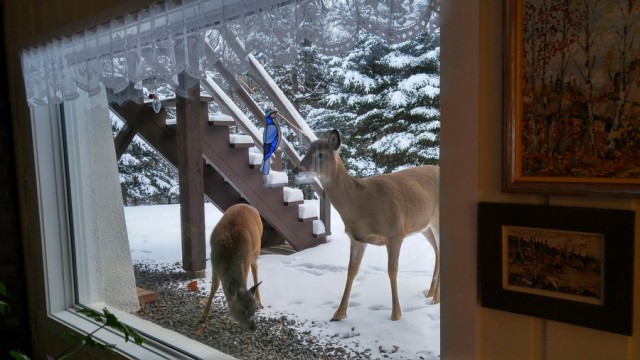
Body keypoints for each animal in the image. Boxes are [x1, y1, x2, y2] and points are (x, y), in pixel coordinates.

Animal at [199, 202, 262, 330]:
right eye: (242, 311)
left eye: (253, 310)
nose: (253, 327)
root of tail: (247, 205)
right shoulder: (214, 264)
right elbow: (214, 287)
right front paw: (203, 317)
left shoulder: (245, 263)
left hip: (257, 249)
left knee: (255, 269)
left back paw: (260, 301)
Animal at [296, 129, 440, 320]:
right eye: (307, 151)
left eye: (320, 154)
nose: (296, 169)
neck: (361, 205)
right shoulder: (357, 239)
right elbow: (351, 272)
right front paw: (338, 313)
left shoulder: (395, 232)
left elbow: (392, 271)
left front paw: (396, 314)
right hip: (424, 226)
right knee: (437, 251)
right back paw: (431, 293)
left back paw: (436, 298)